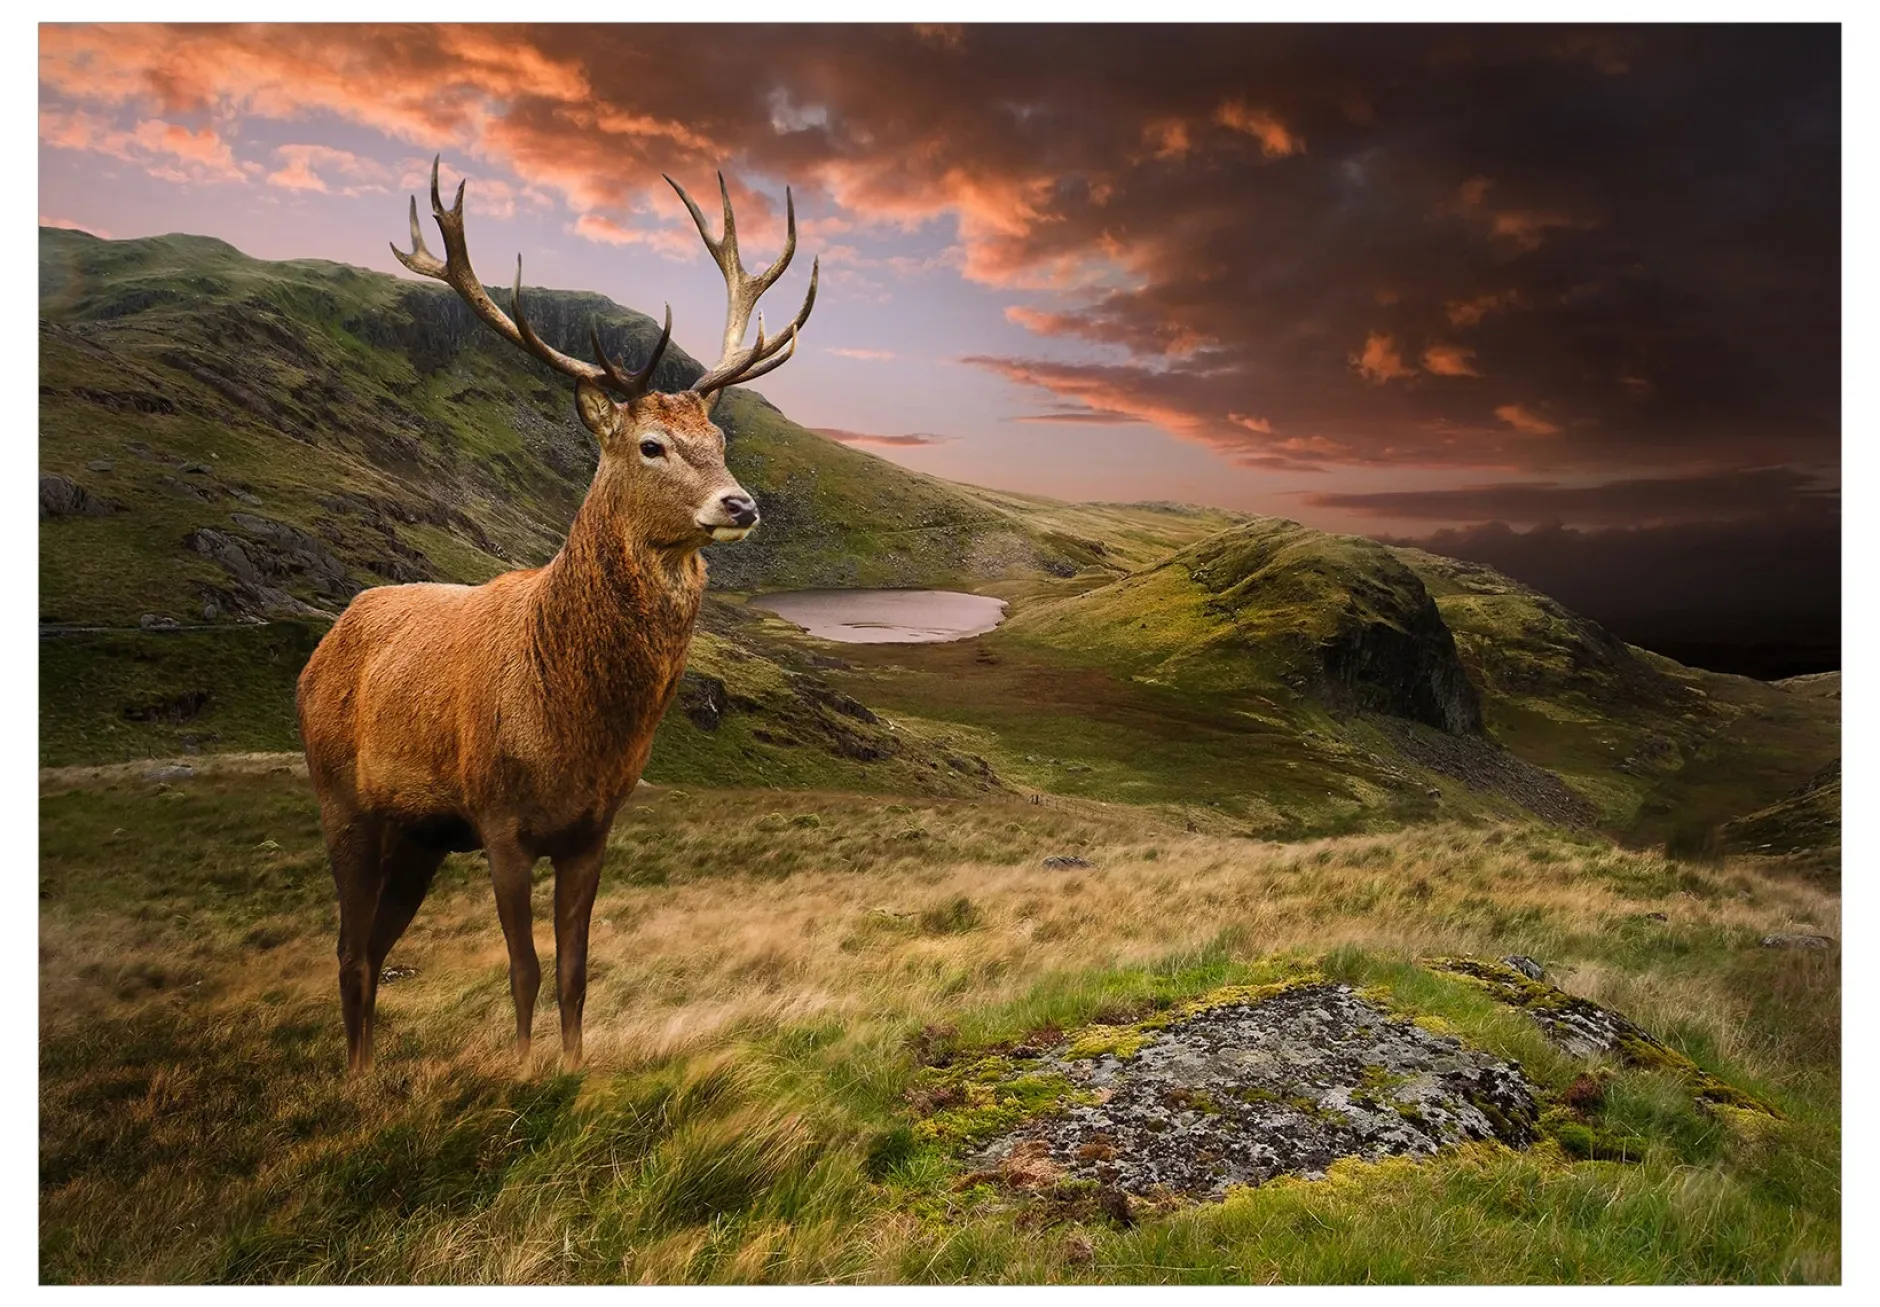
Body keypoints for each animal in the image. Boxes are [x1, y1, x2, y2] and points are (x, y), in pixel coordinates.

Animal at [296, 157, 817, 1075]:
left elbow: (576, 966)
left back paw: (367, 1070)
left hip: (418, 836)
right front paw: (524, 1070)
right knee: (351, 947)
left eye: (719, 437)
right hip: (342, 800)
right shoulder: (500, 819)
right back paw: (354, 1082)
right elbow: (525, 968)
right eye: (650, 444)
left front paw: (574, 1068)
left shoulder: (592, 826)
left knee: (375, 945)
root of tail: (321, 648)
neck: (570, 724)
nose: (742, 504)